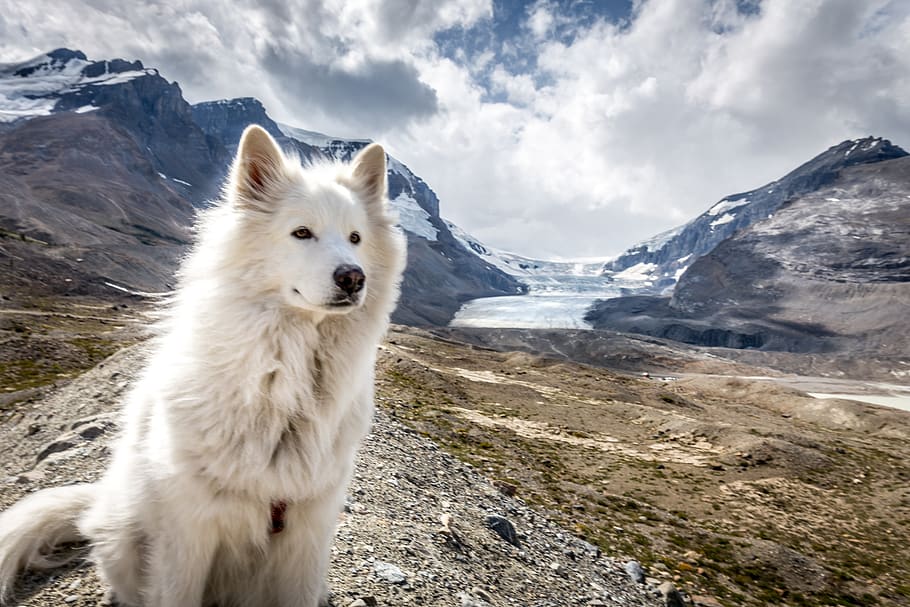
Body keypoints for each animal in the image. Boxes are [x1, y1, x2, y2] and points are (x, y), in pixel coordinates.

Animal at [0, 124, 406, 607]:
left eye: (356, 238)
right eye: (302, 232)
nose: (352, 278)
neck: (283, 385)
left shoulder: (308, 528)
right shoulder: (188, 531)